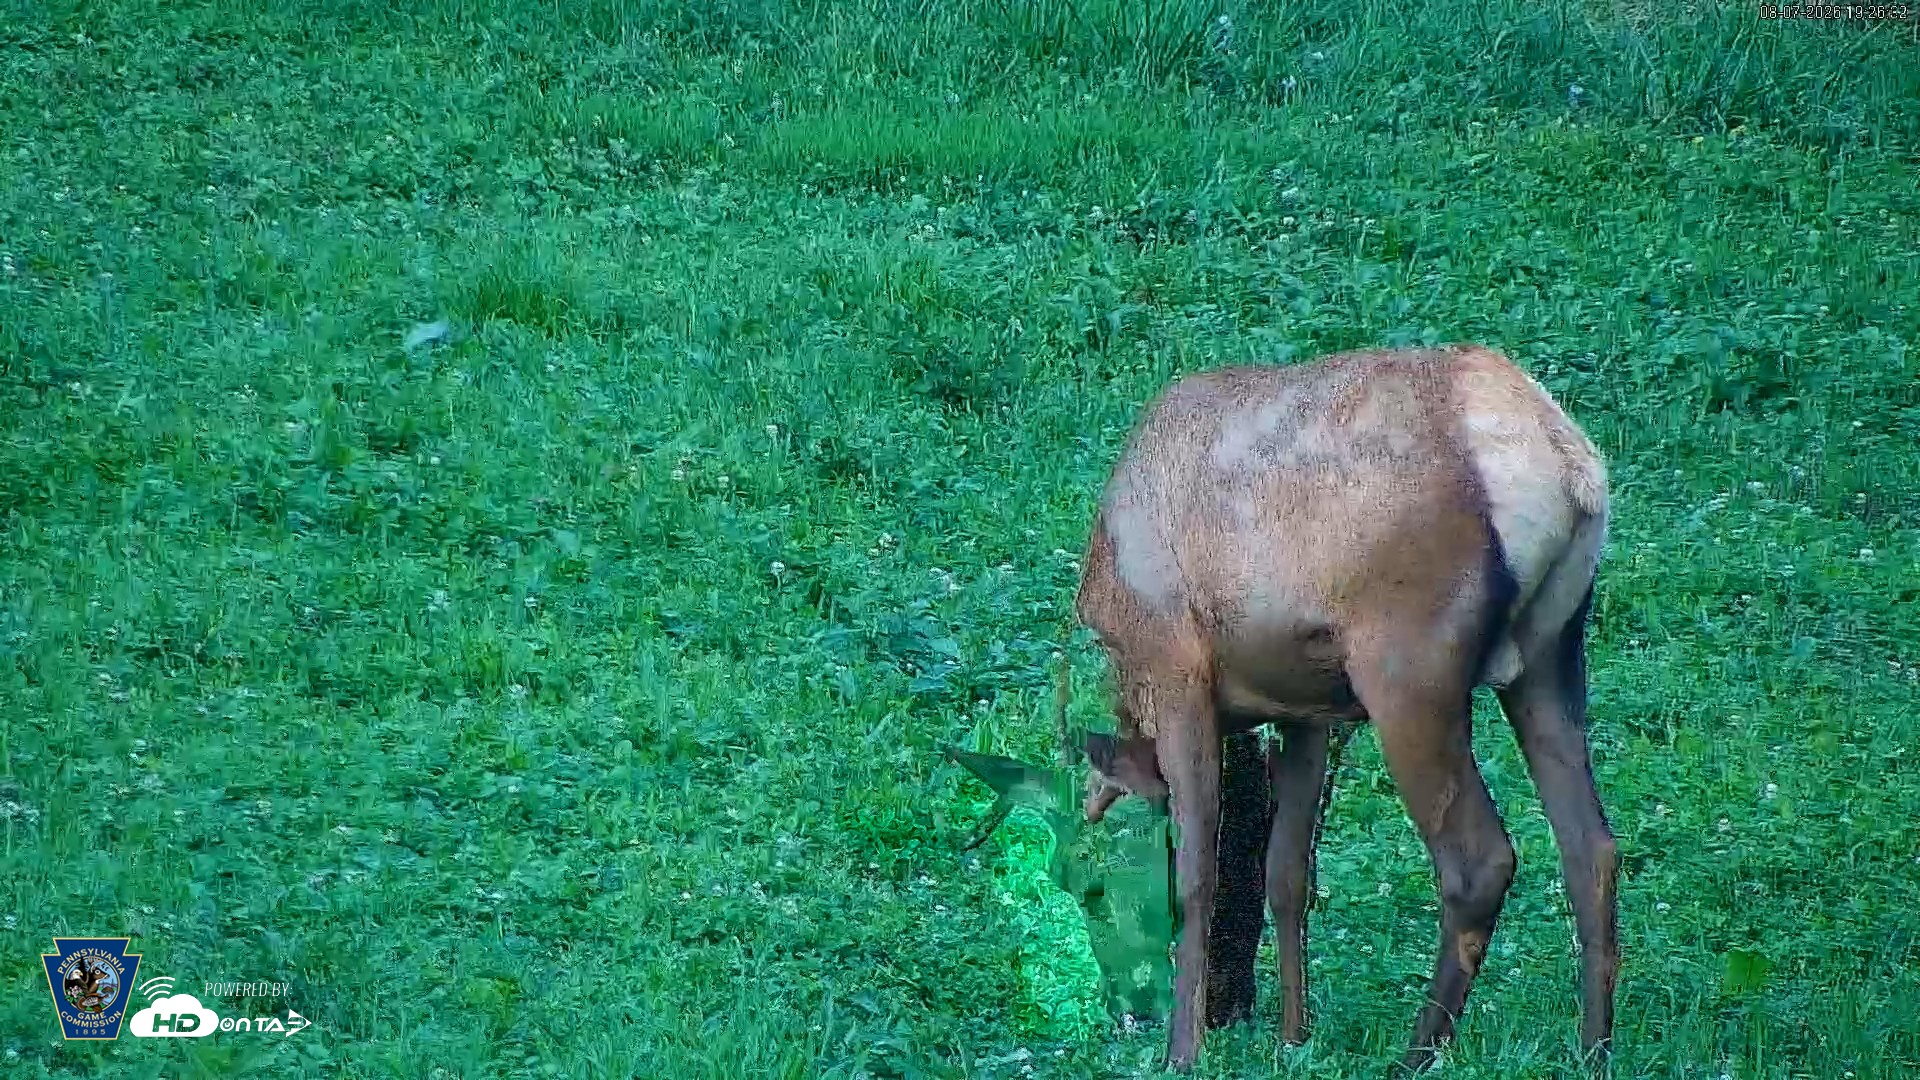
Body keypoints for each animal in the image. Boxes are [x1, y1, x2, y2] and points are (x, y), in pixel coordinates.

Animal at [1072, 344, 1617, 1073]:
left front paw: (1182, 1053)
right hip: (1551, 656)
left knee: (1481, 860)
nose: (1225, 1013)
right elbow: (1287, 873)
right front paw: (1292, 1038)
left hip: (1408, 669)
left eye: (1094, 885)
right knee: (1592, 849)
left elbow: (1195, 875)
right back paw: (1593, 1051)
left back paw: (1415, 1053)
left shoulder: (1177, 670)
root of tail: (1568, 471)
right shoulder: (1306, 712)